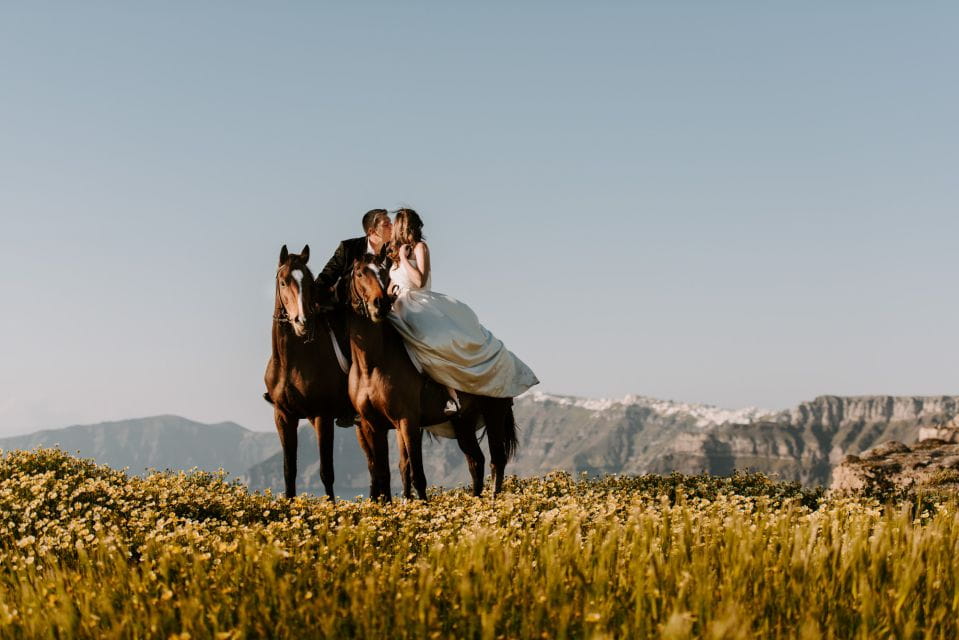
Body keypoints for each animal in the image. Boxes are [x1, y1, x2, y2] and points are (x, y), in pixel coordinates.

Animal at [263, 245, 353, 499]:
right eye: (284, 282)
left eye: (310, 284)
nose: (301, 321)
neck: (291, 362)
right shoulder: (284, 416)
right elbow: (289, 470)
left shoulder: (323, 416)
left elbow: (326, 472)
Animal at [346, 252, 518, 501]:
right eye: (359, 273)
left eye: (384, 273)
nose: (381, 304)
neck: (372, 365)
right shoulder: (372, 425)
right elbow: (383, 473)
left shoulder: (408, 422)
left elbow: (416, 473)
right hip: (463, 423)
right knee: (476, 461)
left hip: (494, 413)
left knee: (497, 460)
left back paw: (493, 502)